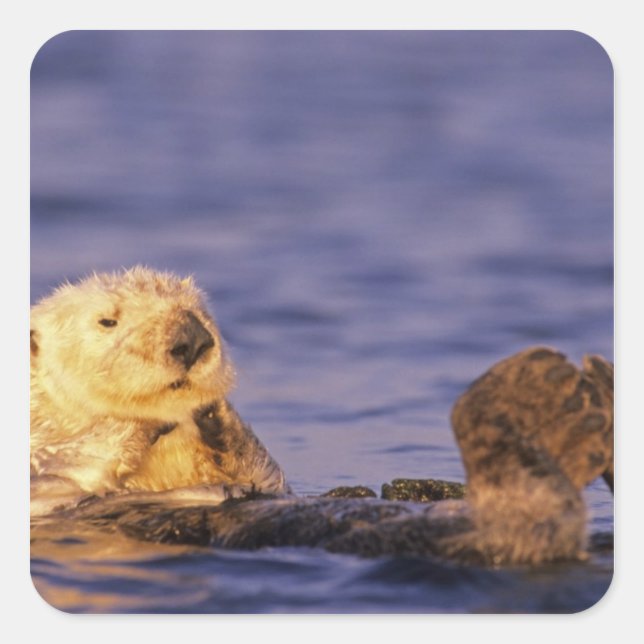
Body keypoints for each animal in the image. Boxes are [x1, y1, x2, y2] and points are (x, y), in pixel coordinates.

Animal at [30, 267, 288, 515]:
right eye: (107, 321)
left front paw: (217, 414)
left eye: (201, 310)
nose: (191, 336)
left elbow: (271, 480)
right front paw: (137, 422)